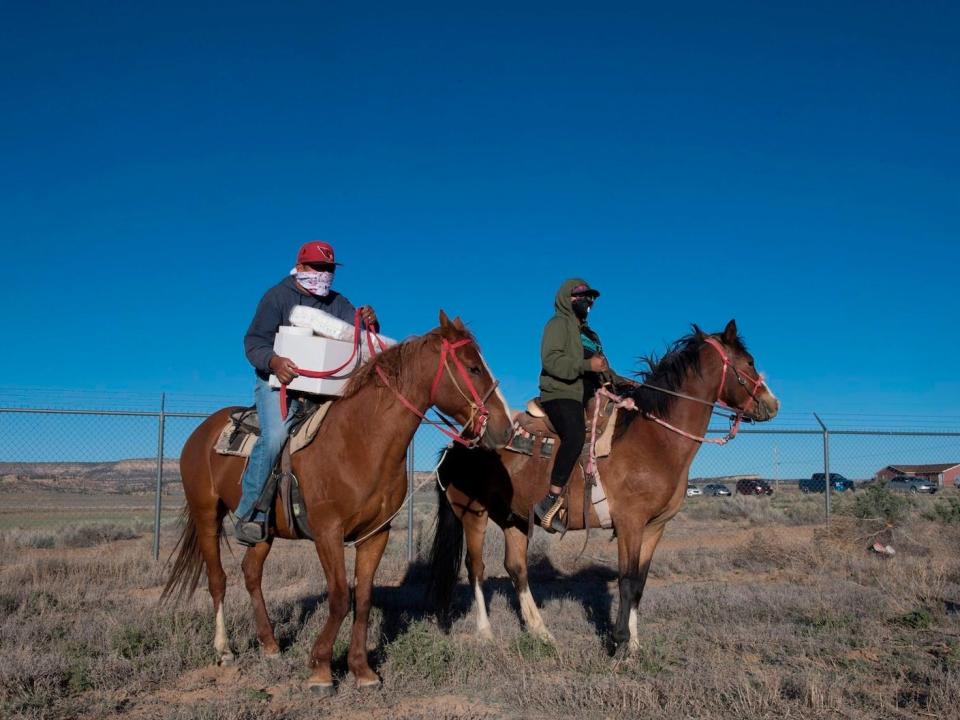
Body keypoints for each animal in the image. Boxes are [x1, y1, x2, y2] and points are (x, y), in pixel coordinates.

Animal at [163, 312, 516, 696]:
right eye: (473, 367)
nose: (506, 428)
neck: (360, 440)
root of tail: (200, 433)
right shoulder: (327, 532)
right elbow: (339, 598)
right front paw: (320, 669)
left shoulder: (375, 534)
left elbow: (362, 598)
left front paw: (361, 669)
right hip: (206, 514)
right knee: (217, 579)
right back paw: (225, 650)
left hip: (263, 530)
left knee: (251, 573)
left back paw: (270, 644)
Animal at [428, 320, 780, 652]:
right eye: (749, 362)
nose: (772, 403)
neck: (655, 439)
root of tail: (456, 446)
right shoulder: (630, 523)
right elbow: (626, 581)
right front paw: (621, 642)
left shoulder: (655, 527)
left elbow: (639, 583)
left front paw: (634, 644)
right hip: (473, 515)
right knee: (476, 567)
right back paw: (486, 633)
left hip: (513, 518)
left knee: (516, 569)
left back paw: (542, 633)